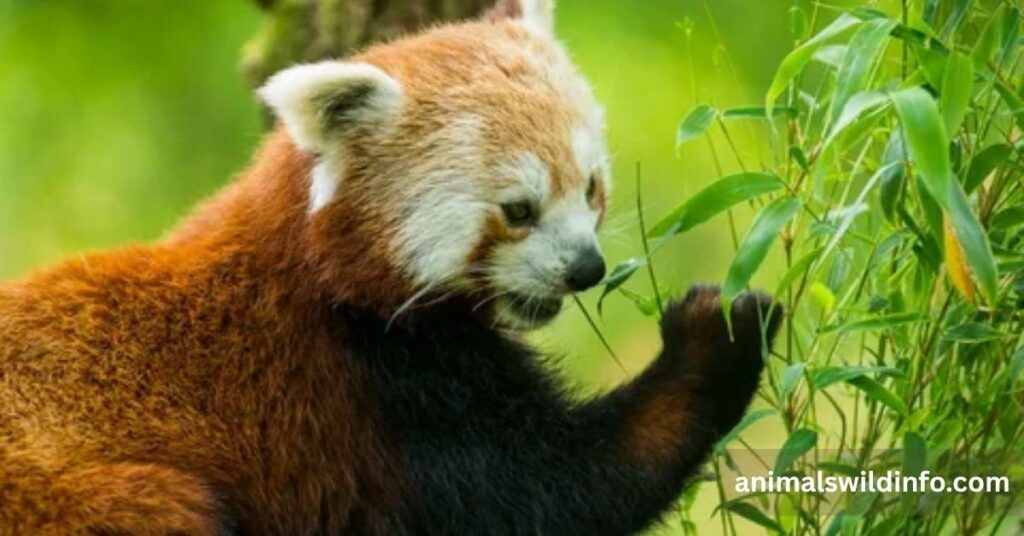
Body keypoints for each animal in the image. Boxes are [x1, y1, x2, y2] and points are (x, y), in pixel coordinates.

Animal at [0, 0, 780, 534]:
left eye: (590, 188)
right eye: (518, 209)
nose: (586, 269)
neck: (322, 275)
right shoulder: (370, 392)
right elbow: (552, 491)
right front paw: (718, 333)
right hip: (96, 500)